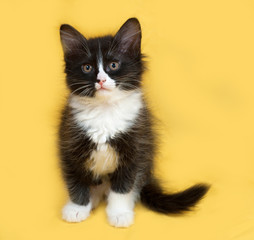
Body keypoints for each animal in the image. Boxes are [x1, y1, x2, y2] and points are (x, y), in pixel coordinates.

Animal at [58, 17, 209, 227]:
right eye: (87, 68)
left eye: (114, 65)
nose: (101, 80)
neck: (105, 111)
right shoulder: (70, 143)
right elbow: (76, 180)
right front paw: (77, 208)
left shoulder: (136, 148)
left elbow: (123, 186)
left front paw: (119, 213)